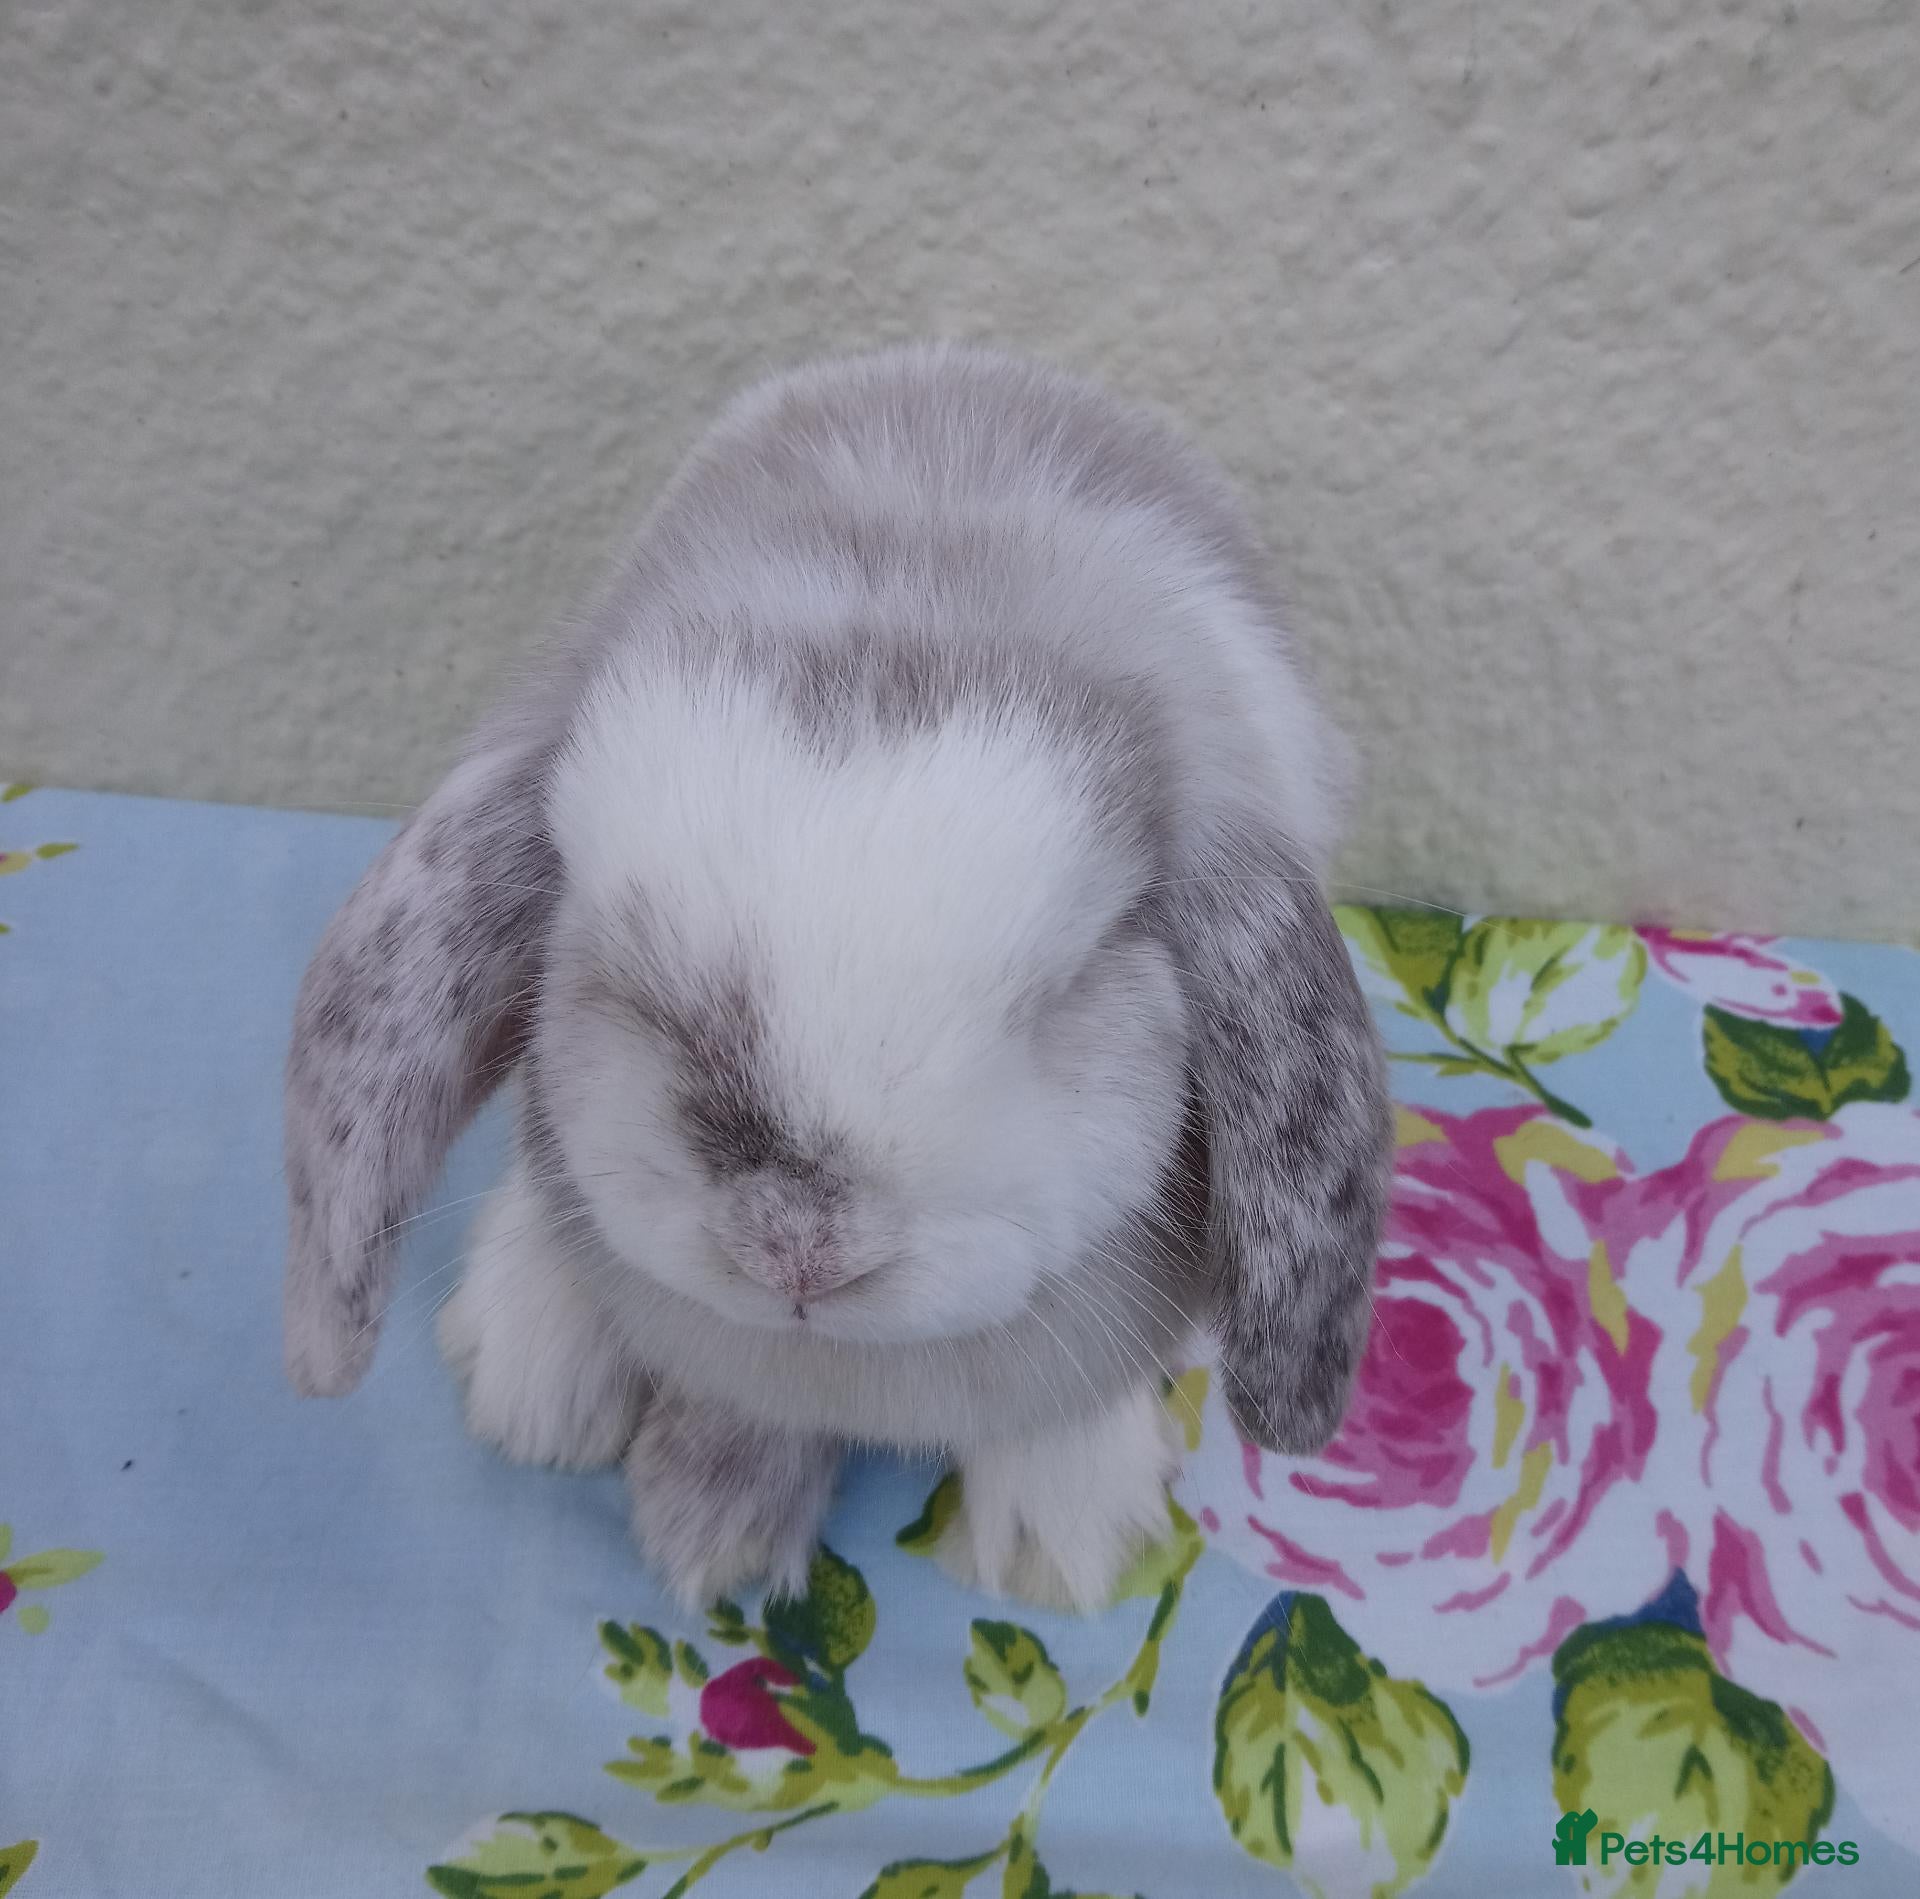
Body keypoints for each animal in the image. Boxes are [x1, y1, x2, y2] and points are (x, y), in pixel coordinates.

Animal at [282, 340, 1392, 1615]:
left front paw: (1060, 1546)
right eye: (621, 980)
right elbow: (739, 1412)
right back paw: (533, 1370)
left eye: (1063, 993)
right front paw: (709, 1528)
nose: (795, 1248)